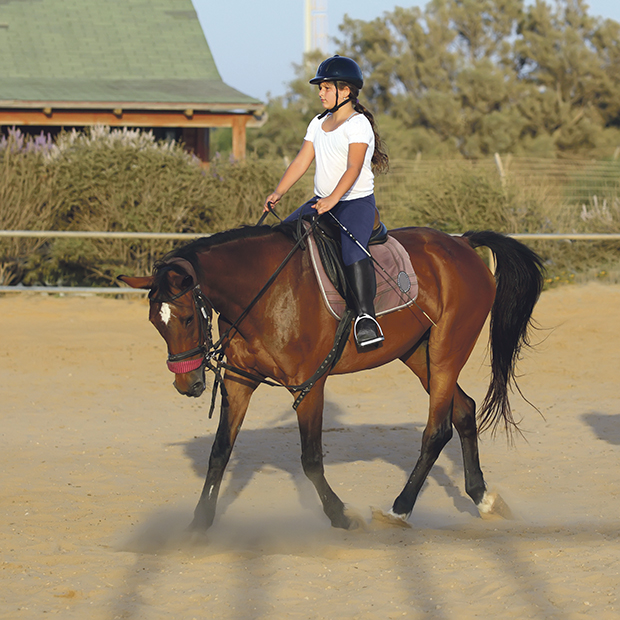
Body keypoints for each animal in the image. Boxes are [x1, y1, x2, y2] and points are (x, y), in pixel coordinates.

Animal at [120, 225, 544, 532]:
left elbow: (310, 460)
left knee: (437, 430)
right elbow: (220, 452)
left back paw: (399, 510)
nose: (187, 385)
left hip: (445, 353)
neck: (266, 293)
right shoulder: (240, 381)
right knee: (464, 411)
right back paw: (483, 498)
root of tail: (460, 243)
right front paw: (200, 521)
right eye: (155, 322)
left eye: (187, 318)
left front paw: (340, 515)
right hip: (418, 354)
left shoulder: (308, 386)